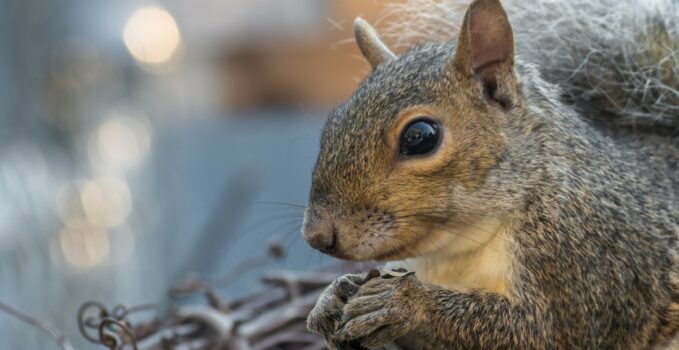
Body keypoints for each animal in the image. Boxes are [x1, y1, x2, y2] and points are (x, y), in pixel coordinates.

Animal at [302, 0, 679, 348]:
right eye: (332, 123)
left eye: (420, 137)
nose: (317, 236)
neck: (460, 246)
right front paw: (333, 296)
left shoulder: (584, 265)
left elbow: (538, 332)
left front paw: (406, 304)